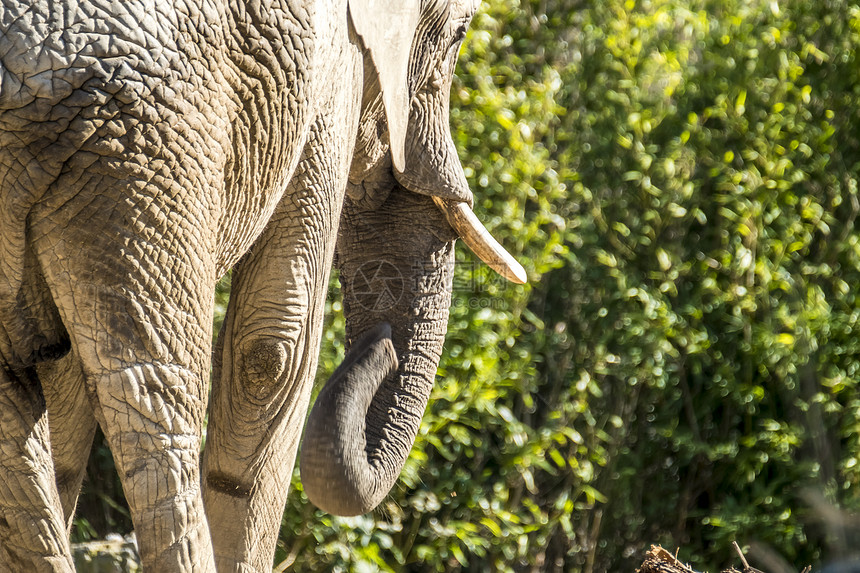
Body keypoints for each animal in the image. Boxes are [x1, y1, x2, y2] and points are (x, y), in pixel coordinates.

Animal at [0, 0, 524, 568]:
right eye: (460, 33)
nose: (381, 346)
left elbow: (62, 376)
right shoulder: (332, 75)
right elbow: (275, 350)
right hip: (145, 150)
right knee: (158, 401)